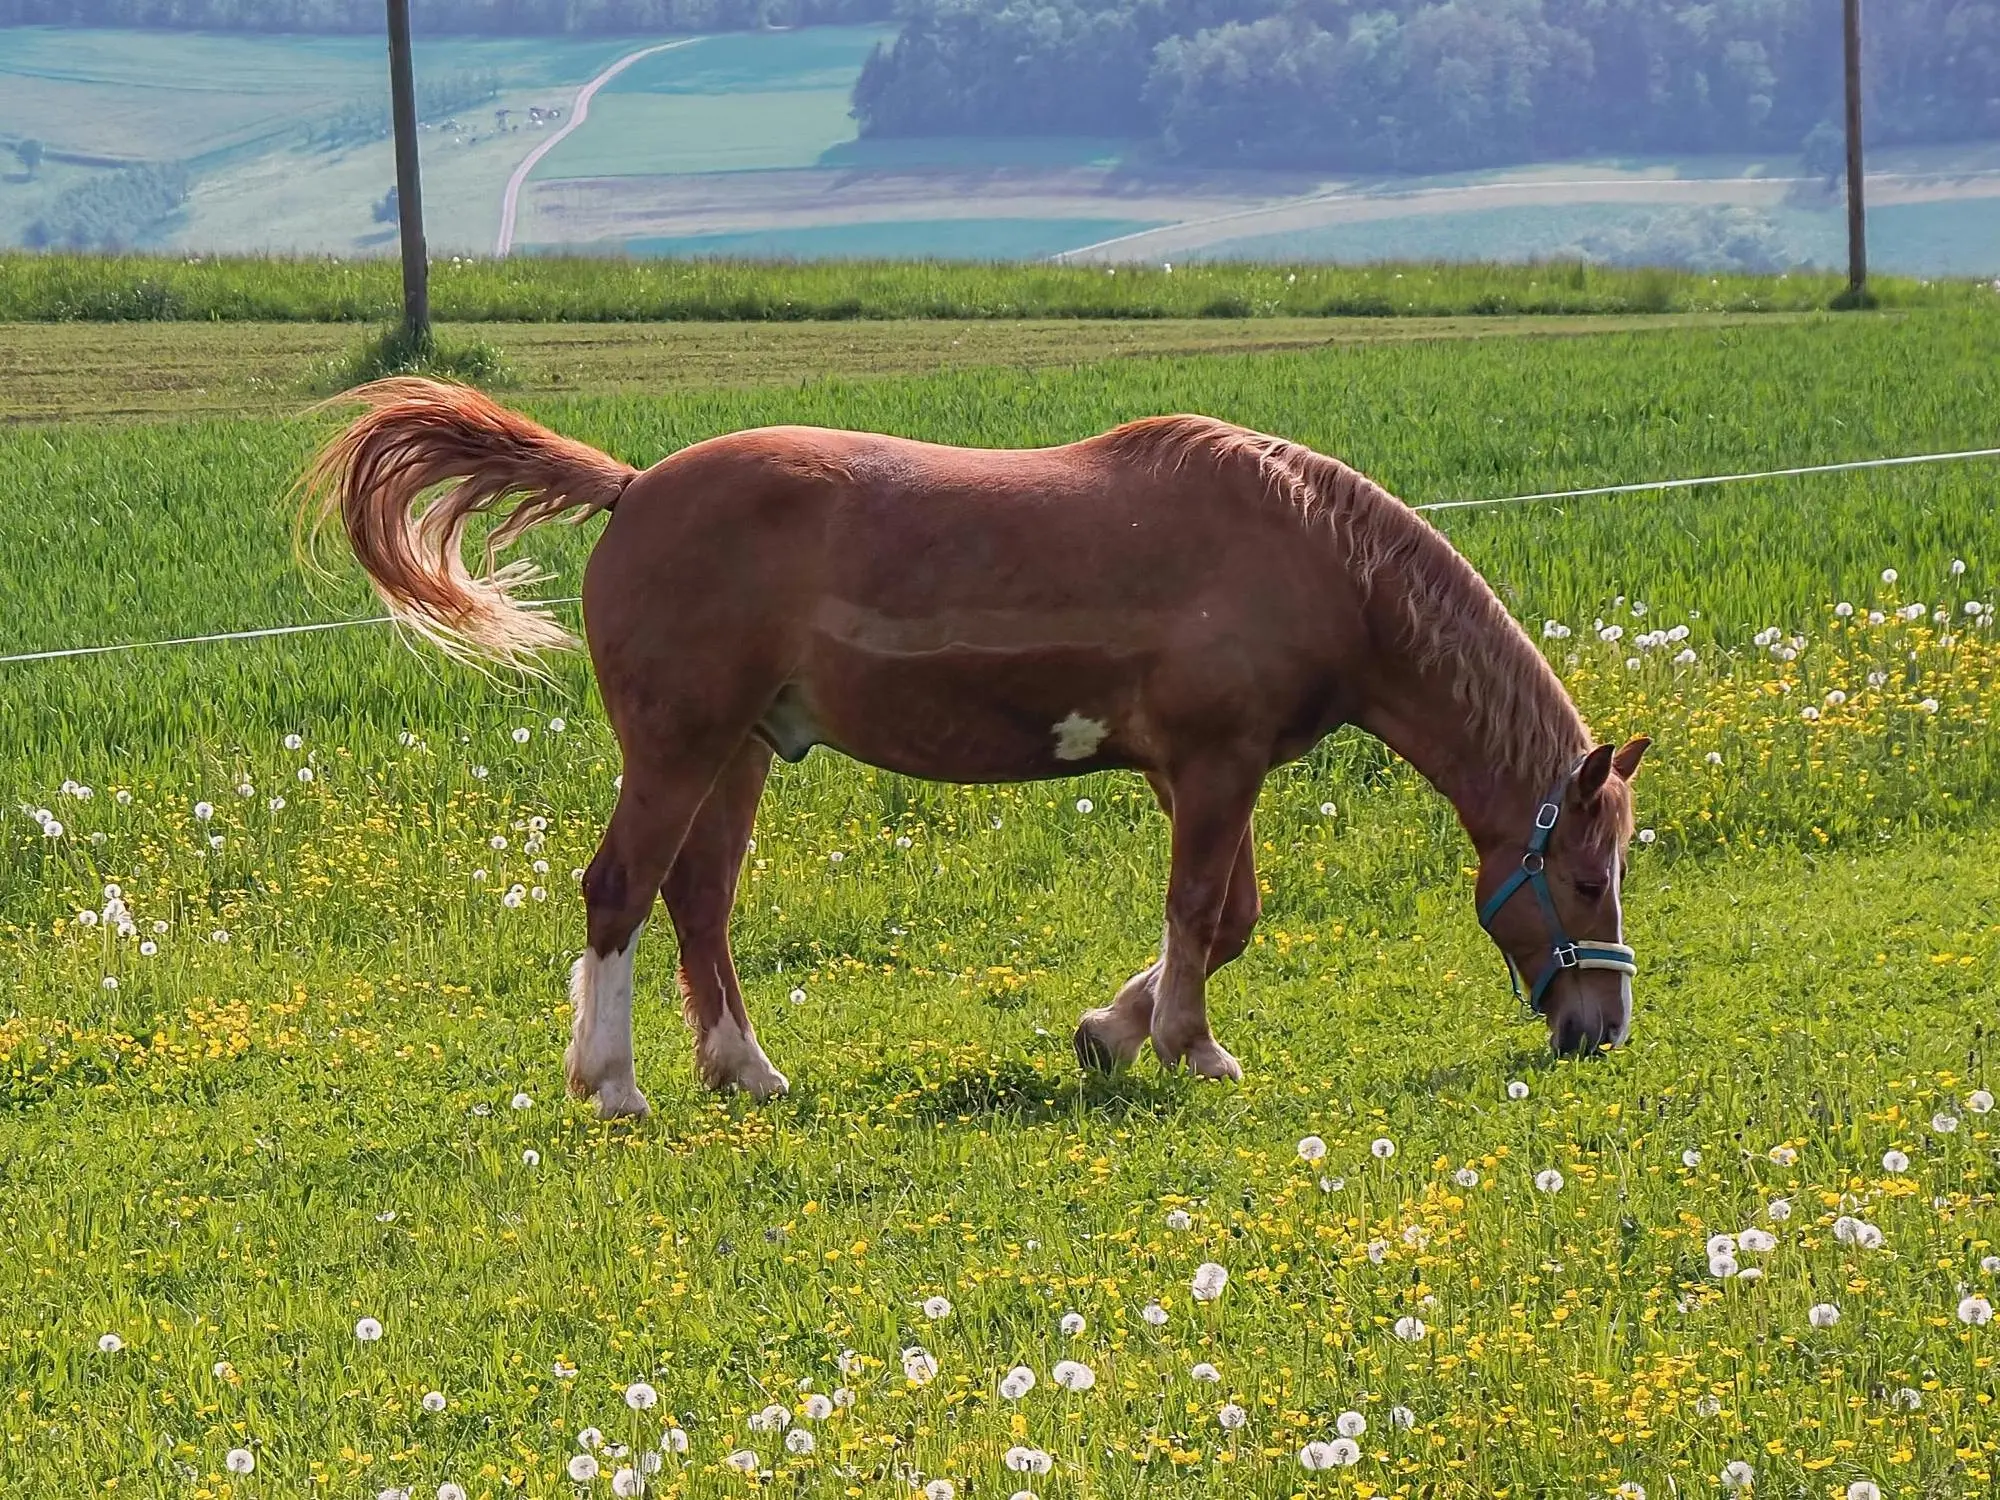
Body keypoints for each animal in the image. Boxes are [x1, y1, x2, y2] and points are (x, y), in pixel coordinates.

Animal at [304, 382, 1648, 1120]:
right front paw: (1188, 1047)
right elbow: (1199, 913)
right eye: (1584, 879)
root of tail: (633, 487)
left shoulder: (1212, 773)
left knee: (700, 901)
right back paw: (616, 1081)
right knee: (620, 892)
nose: (1599, 1028)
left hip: (738, 753)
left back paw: (743, 1068)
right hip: (678, 747)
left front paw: (1110, 1030)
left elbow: (1228, 920)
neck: (1313, 554)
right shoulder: (1214, 770)